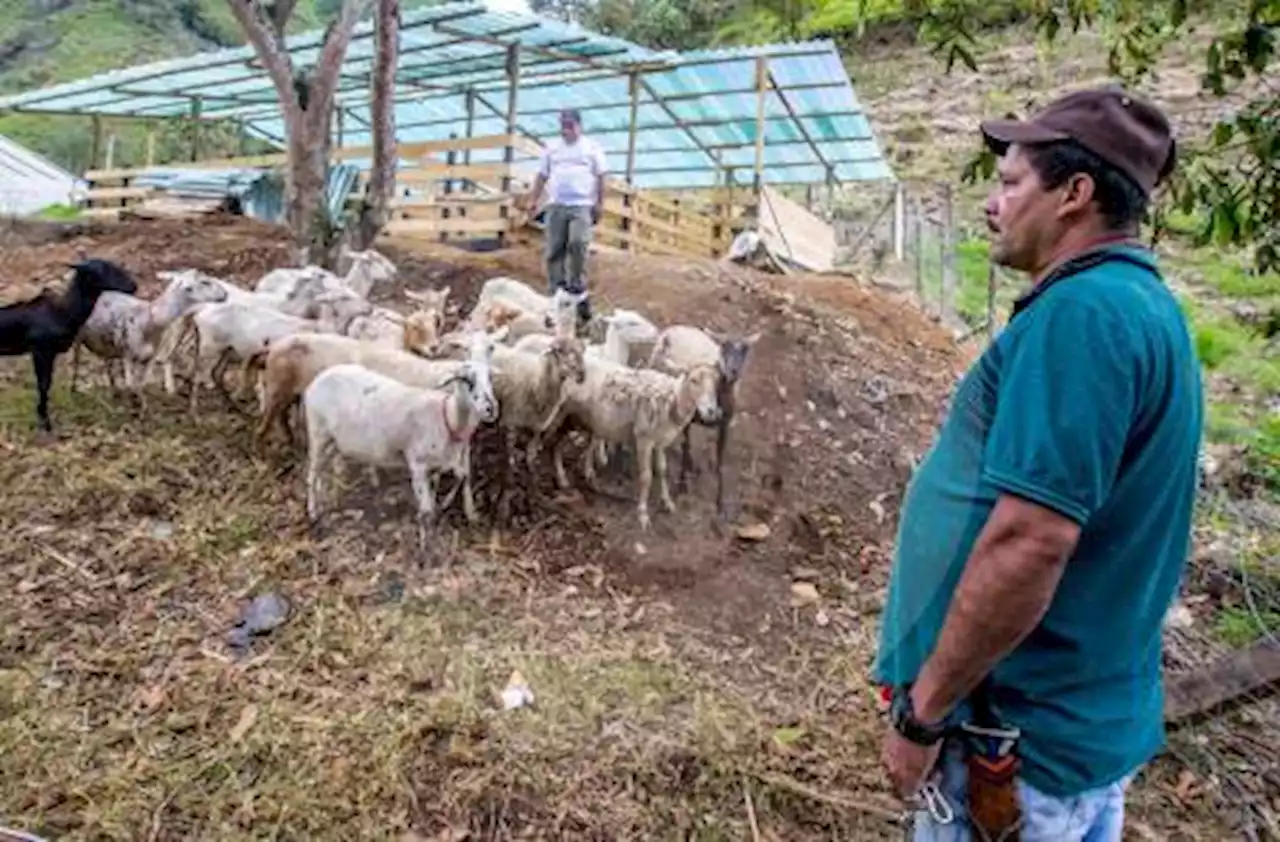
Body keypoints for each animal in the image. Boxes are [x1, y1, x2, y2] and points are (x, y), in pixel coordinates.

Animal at [0, 261, 137, 432]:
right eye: (103, 270)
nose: (133, 286)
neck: (64, 313)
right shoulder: (41, 350)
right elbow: (43, 385)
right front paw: (45, 423)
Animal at [302, 355, 496, 545]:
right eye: (466, 380)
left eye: (489, 377)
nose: (490, 409)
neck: (447, 417)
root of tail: (318, 379)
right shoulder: (417, 463)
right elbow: (426, 511)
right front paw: (426, 546)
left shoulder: (439, 464)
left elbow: (461, 476)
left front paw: (443, 505)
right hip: (318, 432)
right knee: (312, 475)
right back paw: (313, 513)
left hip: (333, 440)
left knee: (325, 470)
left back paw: (330, 498)